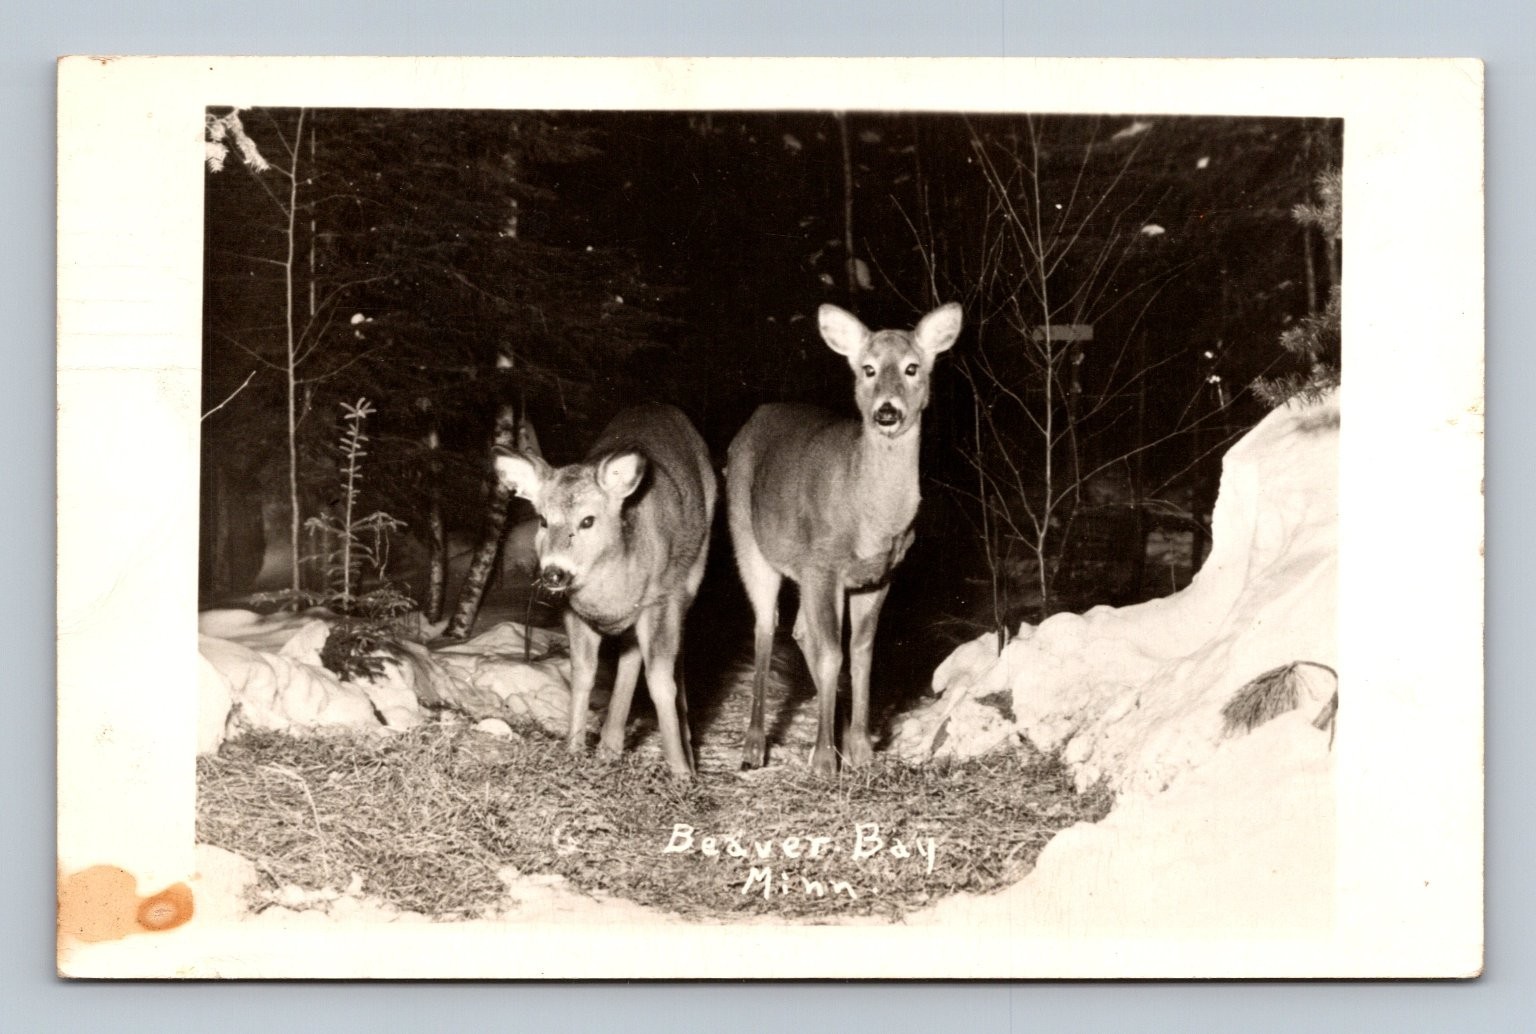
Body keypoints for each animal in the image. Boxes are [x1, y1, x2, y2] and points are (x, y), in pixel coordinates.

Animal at [494, 404, 716, 779]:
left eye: (588, 520)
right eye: (542, 520)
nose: (554, 573)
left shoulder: (660, 602)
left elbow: (660, 683)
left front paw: (681, 773)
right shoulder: (574, 611)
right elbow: (583, 675)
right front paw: (573, 751)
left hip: (691, 576)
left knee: (676, 656)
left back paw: (684, 743)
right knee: (629, 659)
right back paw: (610, 747)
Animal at [728, 302, 961, 778]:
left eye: (912, 367)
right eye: (867, 369)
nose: (887, 411)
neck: (869, 515)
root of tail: (756, 417)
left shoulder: (877, 576)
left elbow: (862, 653)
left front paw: (859, 750)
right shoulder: (825, 566)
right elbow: (832, 655)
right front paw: (823, 759)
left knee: (801, 631)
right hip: (750, 542)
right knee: (766, 627)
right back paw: (754, 745)